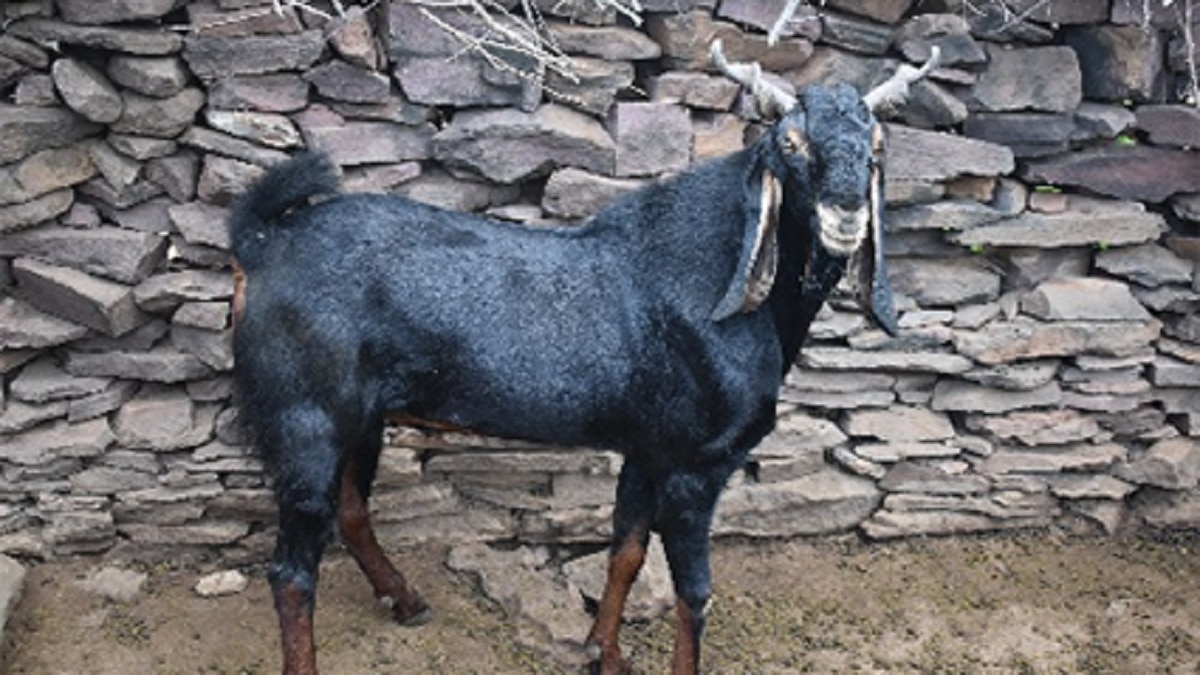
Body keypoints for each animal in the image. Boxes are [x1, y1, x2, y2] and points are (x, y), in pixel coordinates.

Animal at [229, 42, 938, 675]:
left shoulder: (649, 447)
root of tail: (260, 243)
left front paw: (604, 653)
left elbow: (625, 551)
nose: (845, 215)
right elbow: (695, 593)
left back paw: (405, 599)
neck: (718, 283)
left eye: (878, 148)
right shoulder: (698, 463)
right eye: (790, 145)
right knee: (291, 571)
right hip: (306, 419)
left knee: (350, 513)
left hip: (360, 417)